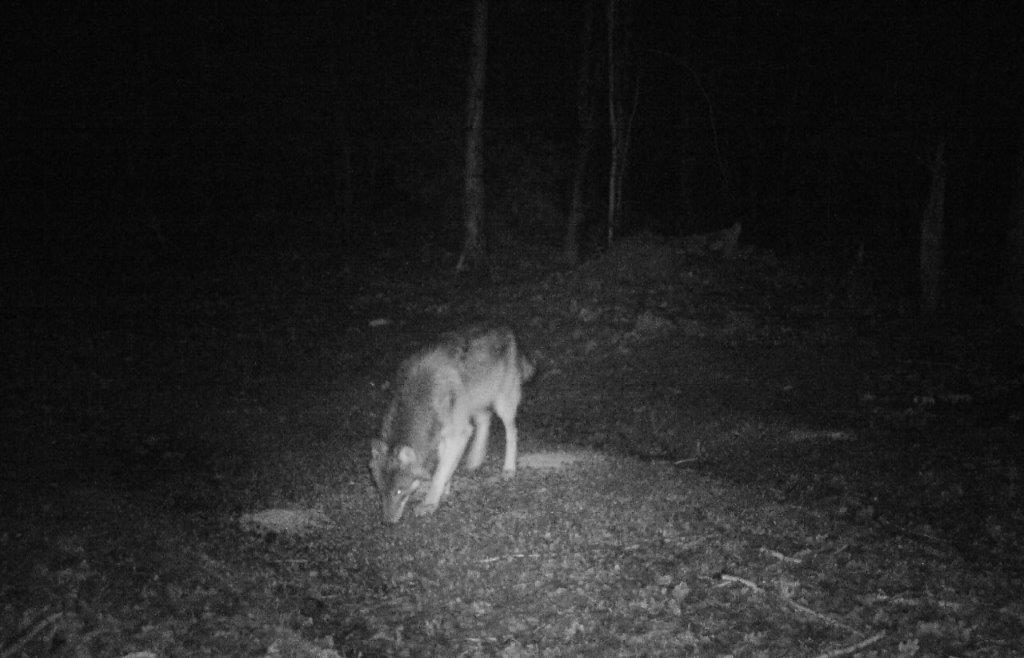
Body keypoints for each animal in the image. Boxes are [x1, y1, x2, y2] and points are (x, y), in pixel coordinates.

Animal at [369, 324, 534, 523]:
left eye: (400, 491)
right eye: (380, 490)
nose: (387, 522)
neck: (422, 396)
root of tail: (507, 330)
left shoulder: (457, 434)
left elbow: (438, 474)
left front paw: (430, 502)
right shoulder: (442, 434)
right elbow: (444, 466)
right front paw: (445, 489)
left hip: (502, 405)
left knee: (511, 432)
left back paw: (509, 469)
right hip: (472, 404)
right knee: (485, 419)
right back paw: (475, 460)